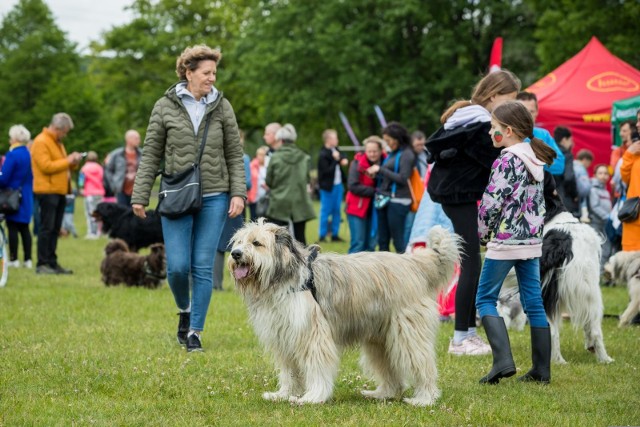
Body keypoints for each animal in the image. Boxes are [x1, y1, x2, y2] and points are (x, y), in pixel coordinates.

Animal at [228, 221, 458, 408]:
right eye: (238, 242)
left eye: (256, 243)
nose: (235, 254)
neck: (282, 279)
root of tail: (412, 263)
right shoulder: (283, 336)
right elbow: (289, 372)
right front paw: (284, 394)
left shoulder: (313, 335)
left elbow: (317, 367)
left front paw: (313, 397)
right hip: (379, 339)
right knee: (390, 370)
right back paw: (383, 393)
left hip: (408, 333)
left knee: (422, 364)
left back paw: (425, 398)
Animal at [502, 174, 612, 364]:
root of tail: (562, 244)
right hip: (592, 292)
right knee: (595, 328)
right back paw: (604, 359)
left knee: (551, 330)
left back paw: (557, 361)